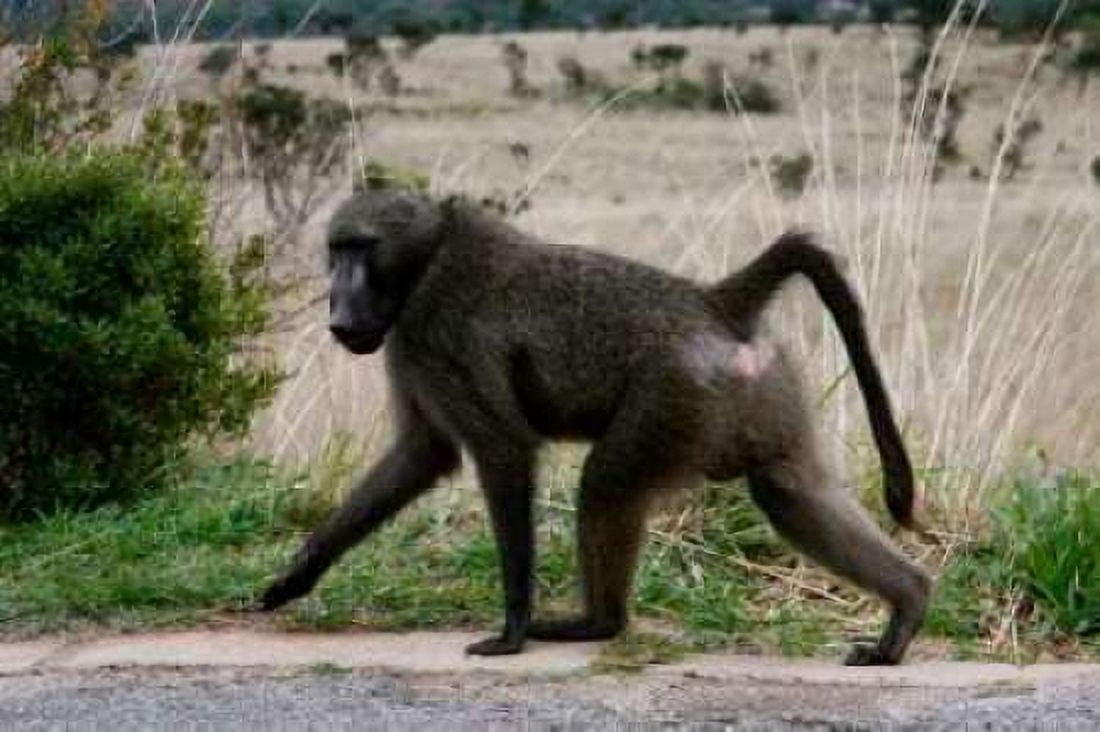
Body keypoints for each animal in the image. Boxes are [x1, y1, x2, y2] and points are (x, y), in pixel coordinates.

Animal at [258, 190, 931, 666]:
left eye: (361, 249)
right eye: (337, 250)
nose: (338, 311)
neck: (429, 257)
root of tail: (713, 302)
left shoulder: (435, 332)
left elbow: (501, 449)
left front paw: (512, 630)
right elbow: (422, 455)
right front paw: (296, 576)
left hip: (675, 396)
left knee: (607, 482)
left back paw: (596, 623)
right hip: (755, 390)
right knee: (790, 492)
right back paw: (908, 605)